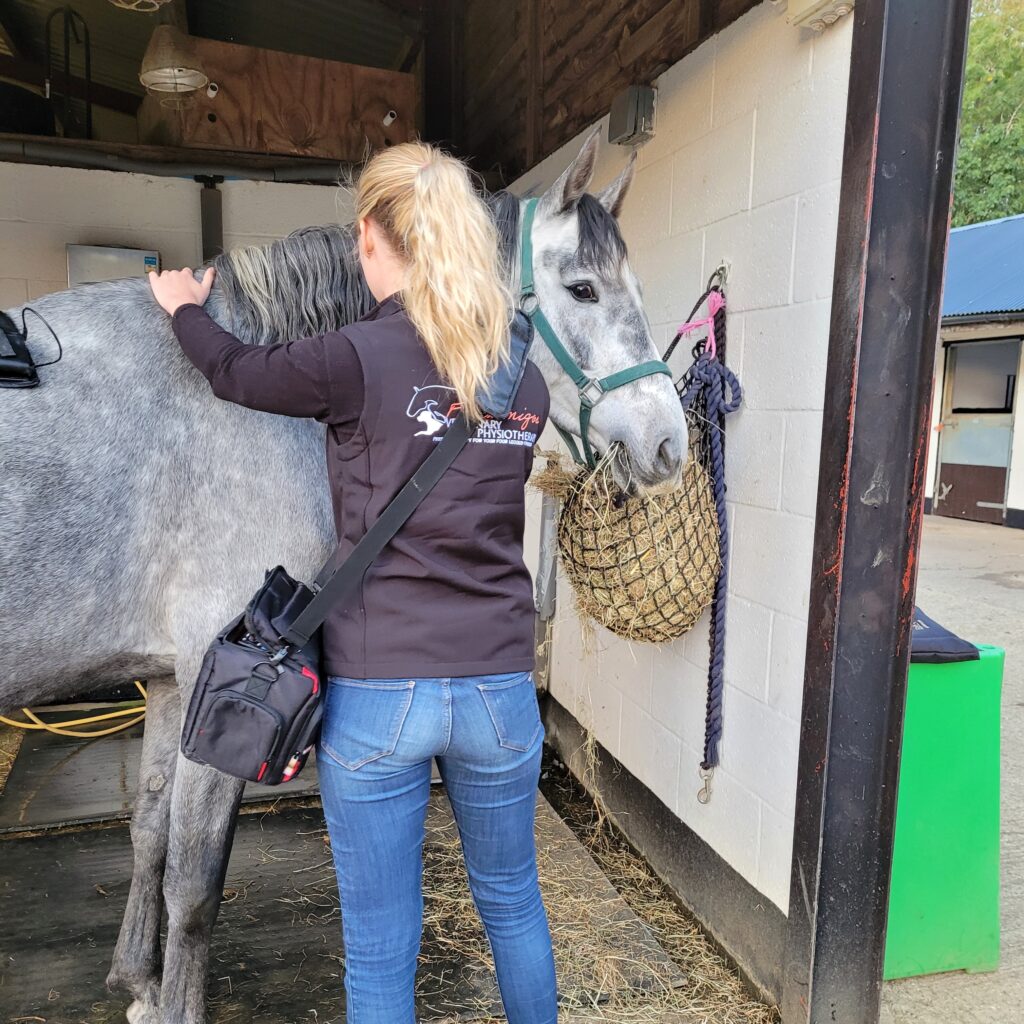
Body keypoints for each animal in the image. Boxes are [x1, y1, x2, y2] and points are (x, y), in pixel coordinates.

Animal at [2, 132, 688, 1019]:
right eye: (583, 288)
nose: (669, 444)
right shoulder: (213, 688)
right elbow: (195, 885)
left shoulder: (169, 683)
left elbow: (149, 833)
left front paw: (137, 982)